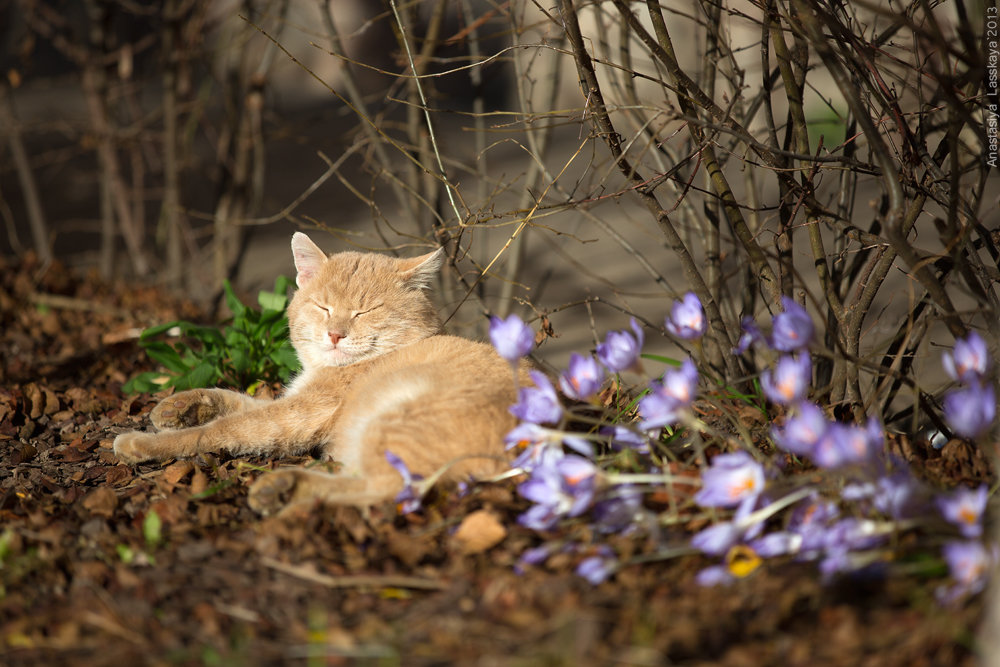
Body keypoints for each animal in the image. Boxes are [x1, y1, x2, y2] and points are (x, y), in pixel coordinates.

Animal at [113, 232, 532, 516]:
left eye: (365, 311)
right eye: (324, 307)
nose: (335, 334)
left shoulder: (295, 414)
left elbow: (218, 431)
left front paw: (143, 443)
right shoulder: (288, 401)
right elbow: (230, 397)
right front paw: (177, 406)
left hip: (394, 421)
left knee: (382, 491)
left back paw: (285, 490)